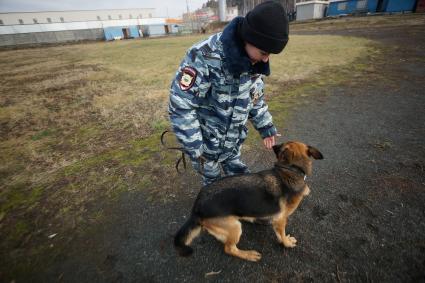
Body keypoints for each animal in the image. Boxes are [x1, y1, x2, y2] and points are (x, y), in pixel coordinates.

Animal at [172, 141, 322, 262]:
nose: (273, 144)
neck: (290, 169)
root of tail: (196, 207)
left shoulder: (277, 220)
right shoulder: (280, 219)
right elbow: (282, 234)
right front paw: (286, 243)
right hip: (235, 227)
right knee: (229, 249)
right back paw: (248, 255)